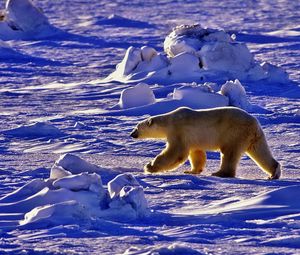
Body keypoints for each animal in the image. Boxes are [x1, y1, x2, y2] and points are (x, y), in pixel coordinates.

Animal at [131, 106, 282, 178]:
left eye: (137, 127)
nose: (131, 134)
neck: (169, 120)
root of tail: (255, 124)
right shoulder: (191, 138)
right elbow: (196, 153)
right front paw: (191, 171)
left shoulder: (178, 131)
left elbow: (176, 152)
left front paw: (149, 166)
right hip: (254, 137)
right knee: (260, 152)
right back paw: (274, 173)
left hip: (234, 132)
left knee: (229, 153)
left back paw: (219, 173)